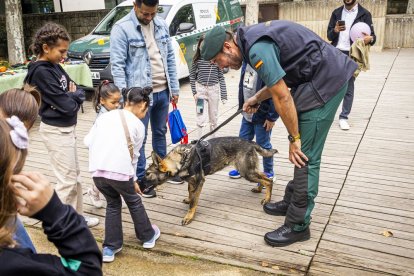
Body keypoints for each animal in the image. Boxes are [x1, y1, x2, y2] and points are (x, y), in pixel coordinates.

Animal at [144, 137, 276, 225]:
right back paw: (259, 189)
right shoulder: (192, 182)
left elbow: (194, 202)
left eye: (147, 174)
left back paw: (267, 199)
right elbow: (191, 193)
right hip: (249, 171)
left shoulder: (199, 181)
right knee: (265, 176)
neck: (182, 159)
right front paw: (189, 199)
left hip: (247, 172)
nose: (139, 186)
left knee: (269, 181)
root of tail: (250, 142)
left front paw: (189, 216)